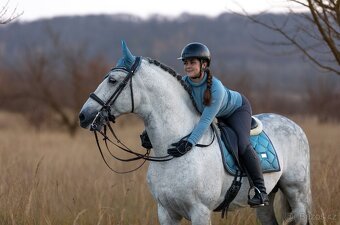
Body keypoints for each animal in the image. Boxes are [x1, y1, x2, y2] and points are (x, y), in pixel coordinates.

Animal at [79, 41, 310, 224]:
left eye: (112, 80)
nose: (84, 116)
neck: (171, 151)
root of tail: (294, 125)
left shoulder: (200, 211)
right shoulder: (166, 212)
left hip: (296, 193)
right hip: (267, 202)